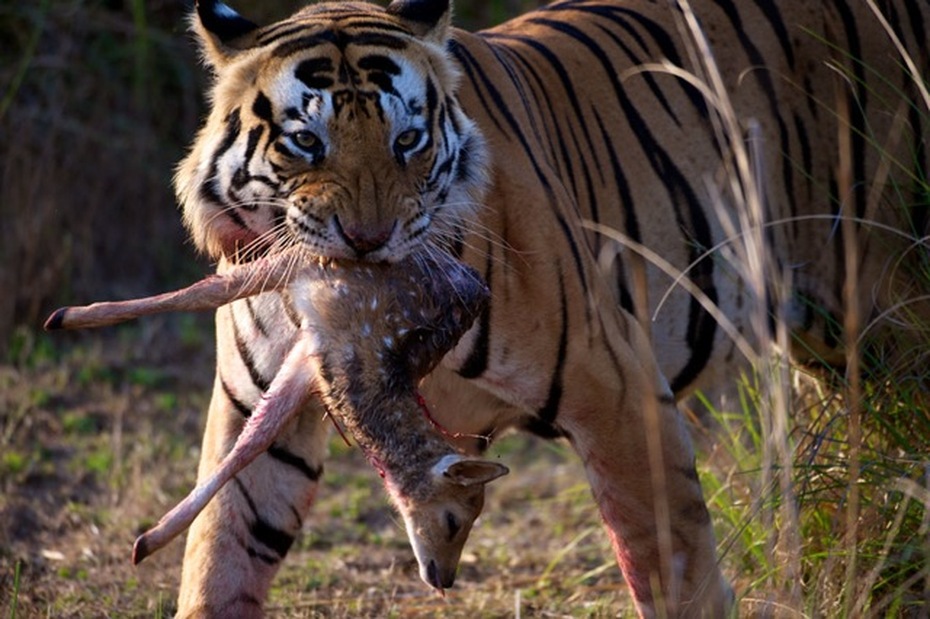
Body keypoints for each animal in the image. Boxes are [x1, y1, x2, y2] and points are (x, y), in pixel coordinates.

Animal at [172, 0, 928, 616]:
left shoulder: (618, 388)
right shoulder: (252, 408)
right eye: (307, 141)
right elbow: (219, 555)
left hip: (889, 301)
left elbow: (674, 567)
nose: (367, 239)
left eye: (407, 141)